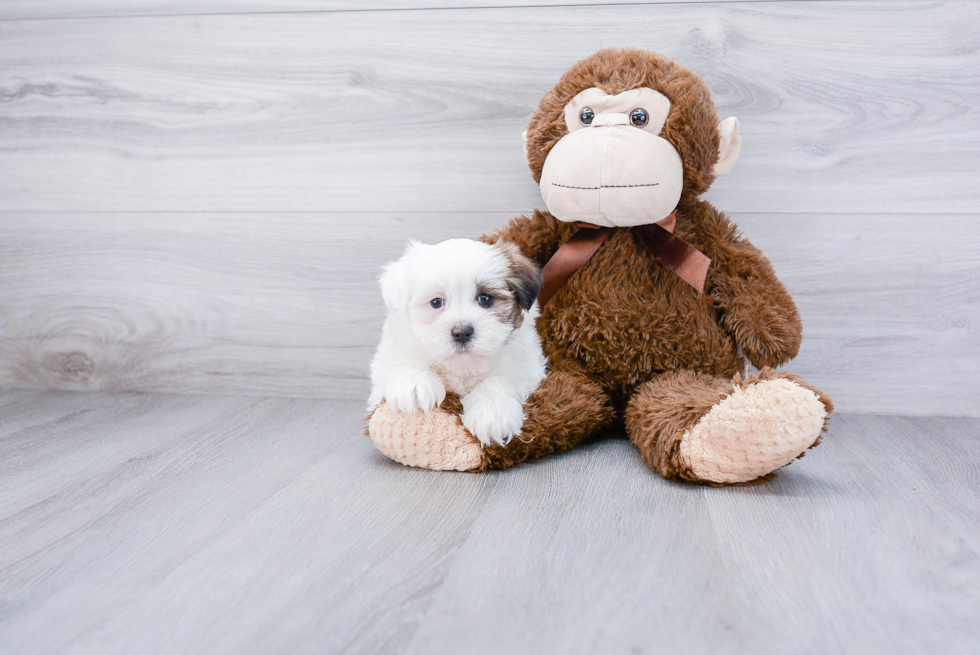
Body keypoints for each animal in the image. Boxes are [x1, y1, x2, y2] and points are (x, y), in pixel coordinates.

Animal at [370, 238, 548, 448]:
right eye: (436, 302)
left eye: (485, 299)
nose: (462, 332)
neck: (461, 365)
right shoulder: (390, 354)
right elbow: (401, 362)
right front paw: (414, 385)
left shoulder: (527, 367)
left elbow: (498, 380)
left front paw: (492, 412)